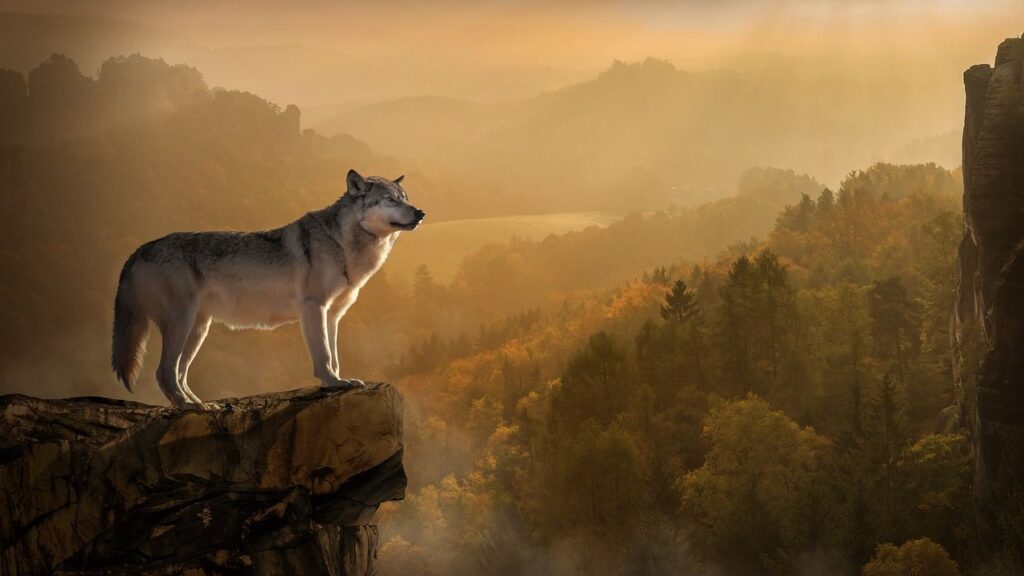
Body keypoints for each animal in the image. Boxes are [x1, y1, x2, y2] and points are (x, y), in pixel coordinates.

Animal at [111, 169, 424, 407]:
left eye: (406, 199)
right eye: (390, 200)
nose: (421, 212)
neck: (342, 244)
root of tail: (139, 250)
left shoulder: (333, 315)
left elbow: (334, 356)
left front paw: (339, 381)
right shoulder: (313, 308)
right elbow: (323, 355)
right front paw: (333, 383)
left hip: (198, 329)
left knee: (179, 374)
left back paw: (200, 404)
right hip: (182, 323)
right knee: (164, 373)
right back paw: (190, 408)